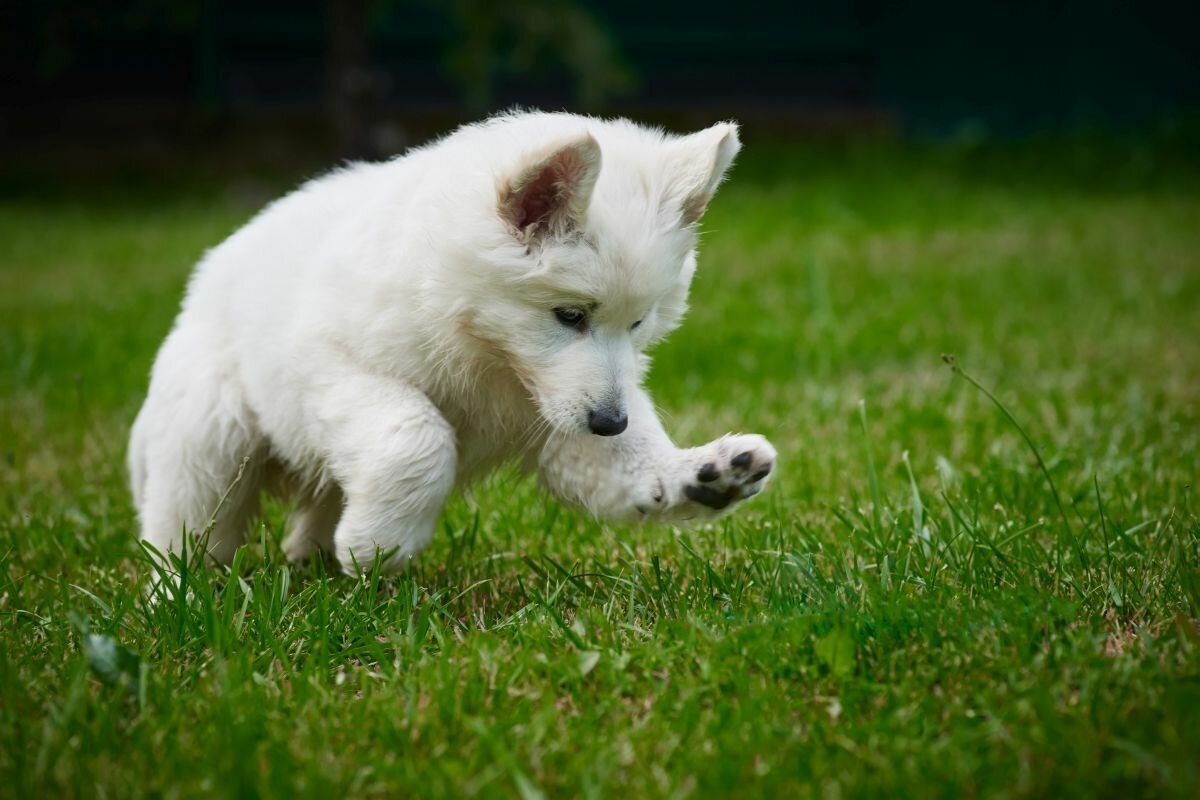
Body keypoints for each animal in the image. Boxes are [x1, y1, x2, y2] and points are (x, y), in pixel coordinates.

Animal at [129, 112, 777, 575]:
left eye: (639, 322)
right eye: (569, 315)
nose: (611, 422)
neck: (482, 345)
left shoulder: (556, 411)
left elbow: (625, 465)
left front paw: (702, 473)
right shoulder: (329, 370)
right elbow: (414, 434)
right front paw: (381, 545)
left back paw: (316, 562)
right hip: (212, 432)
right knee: (185, 523)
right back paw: (183, 598)